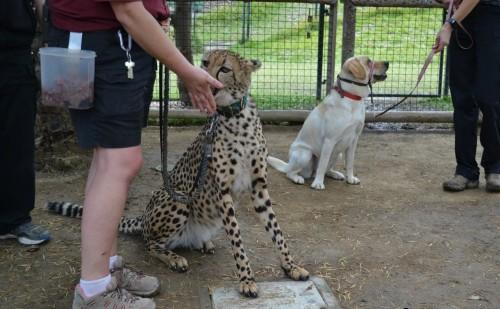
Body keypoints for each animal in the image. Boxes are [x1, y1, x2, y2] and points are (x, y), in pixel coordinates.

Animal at [48, 49, 310, 298]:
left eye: (225, 68)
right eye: (205, 63)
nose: (204, 79)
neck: (235, 115)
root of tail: (144, 217)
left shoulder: (259, 187)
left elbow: (277, 231)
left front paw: (291, 266)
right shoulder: (223, 193)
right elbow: (237, 240)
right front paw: (246, 280)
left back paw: (203, 242)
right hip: (179, 200)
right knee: (150, 242)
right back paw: (174, 258)